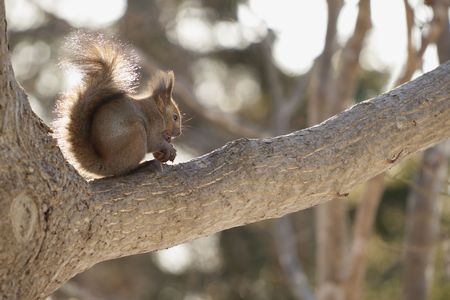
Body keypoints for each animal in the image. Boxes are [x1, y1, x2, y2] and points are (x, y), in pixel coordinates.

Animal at [51, 32, 180, 178]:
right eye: (175, 117)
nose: (179, 133)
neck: (157, 110)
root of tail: (105, 165)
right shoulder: (154, 123)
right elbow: (154, 141)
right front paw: (168, 147)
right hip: (136, 135)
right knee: (125, 169)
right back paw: (144, 165)